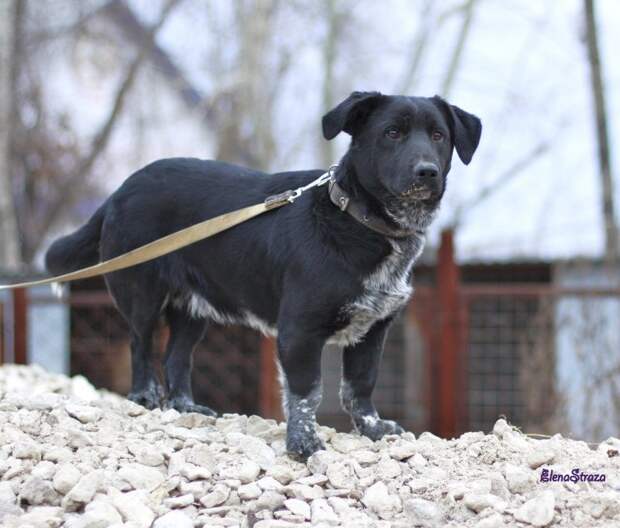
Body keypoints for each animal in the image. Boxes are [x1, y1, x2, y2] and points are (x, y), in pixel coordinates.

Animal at [47, 91, 480, 458]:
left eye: (439, 135)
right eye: (392, 133)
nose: (426, 172)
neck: (358, 220)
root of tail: (121, 189)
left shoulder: (374, 330)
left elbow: (360, 386)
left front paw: (372, 429)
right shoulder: (299, 331)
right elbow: (307, 393)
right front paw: (303, 443)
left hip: (193, 310)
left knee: (176, 358)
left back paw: (187, 407)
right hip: (142, 293)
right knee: (141, 345)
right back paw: (144, 396)